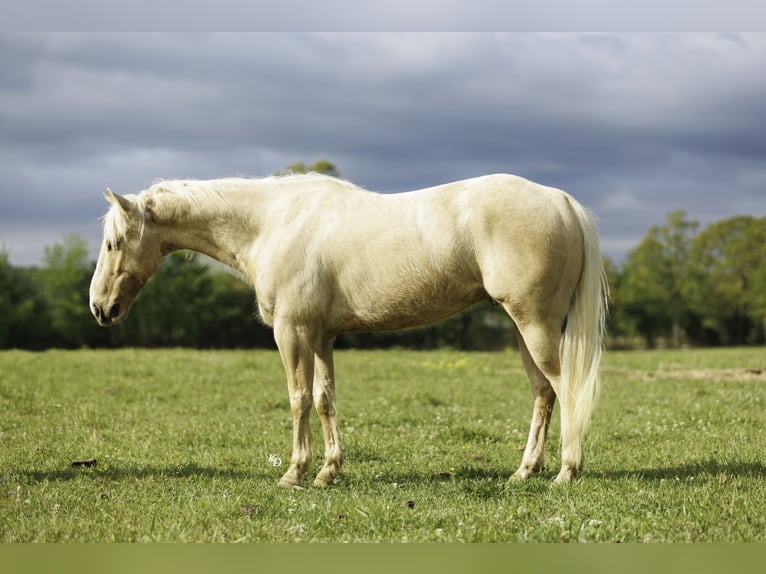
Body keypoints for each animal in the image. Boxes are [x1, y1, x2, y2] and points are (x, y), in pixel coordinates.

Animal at [89, 173, 608, 487]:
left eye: (114, 243)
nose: (100, 308)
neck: (272, 223)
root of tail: (561, 200)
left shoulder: (291, 332)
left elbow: (298, 399)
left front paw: (294, 473)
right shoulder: (322, 336)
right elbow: (325, 400)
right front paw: (328, 471)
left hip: (534, 324)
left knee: (565, 388)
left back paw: (566, 471)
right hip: (524, 329)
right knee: (543, 392)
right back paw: (525, 471)